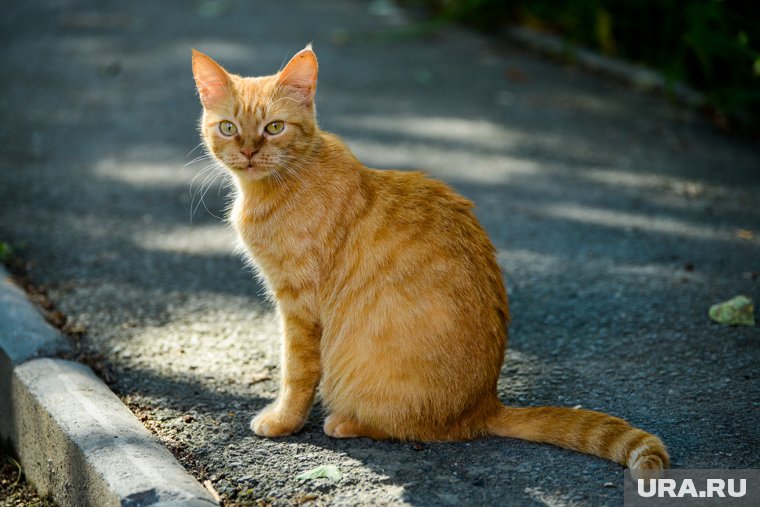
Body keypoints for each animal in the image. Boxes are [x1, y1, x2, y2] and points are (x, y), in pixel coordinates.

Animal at [193, 45, 668, 474]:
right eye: (229, 127)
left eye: (274, 127)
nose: (249, 151)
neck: (277, 185)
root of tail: (485, 403)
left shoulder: (299, 307)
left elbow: (296, 372)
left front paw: (283, 422)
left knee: (418, 429)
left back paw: (346, 421)